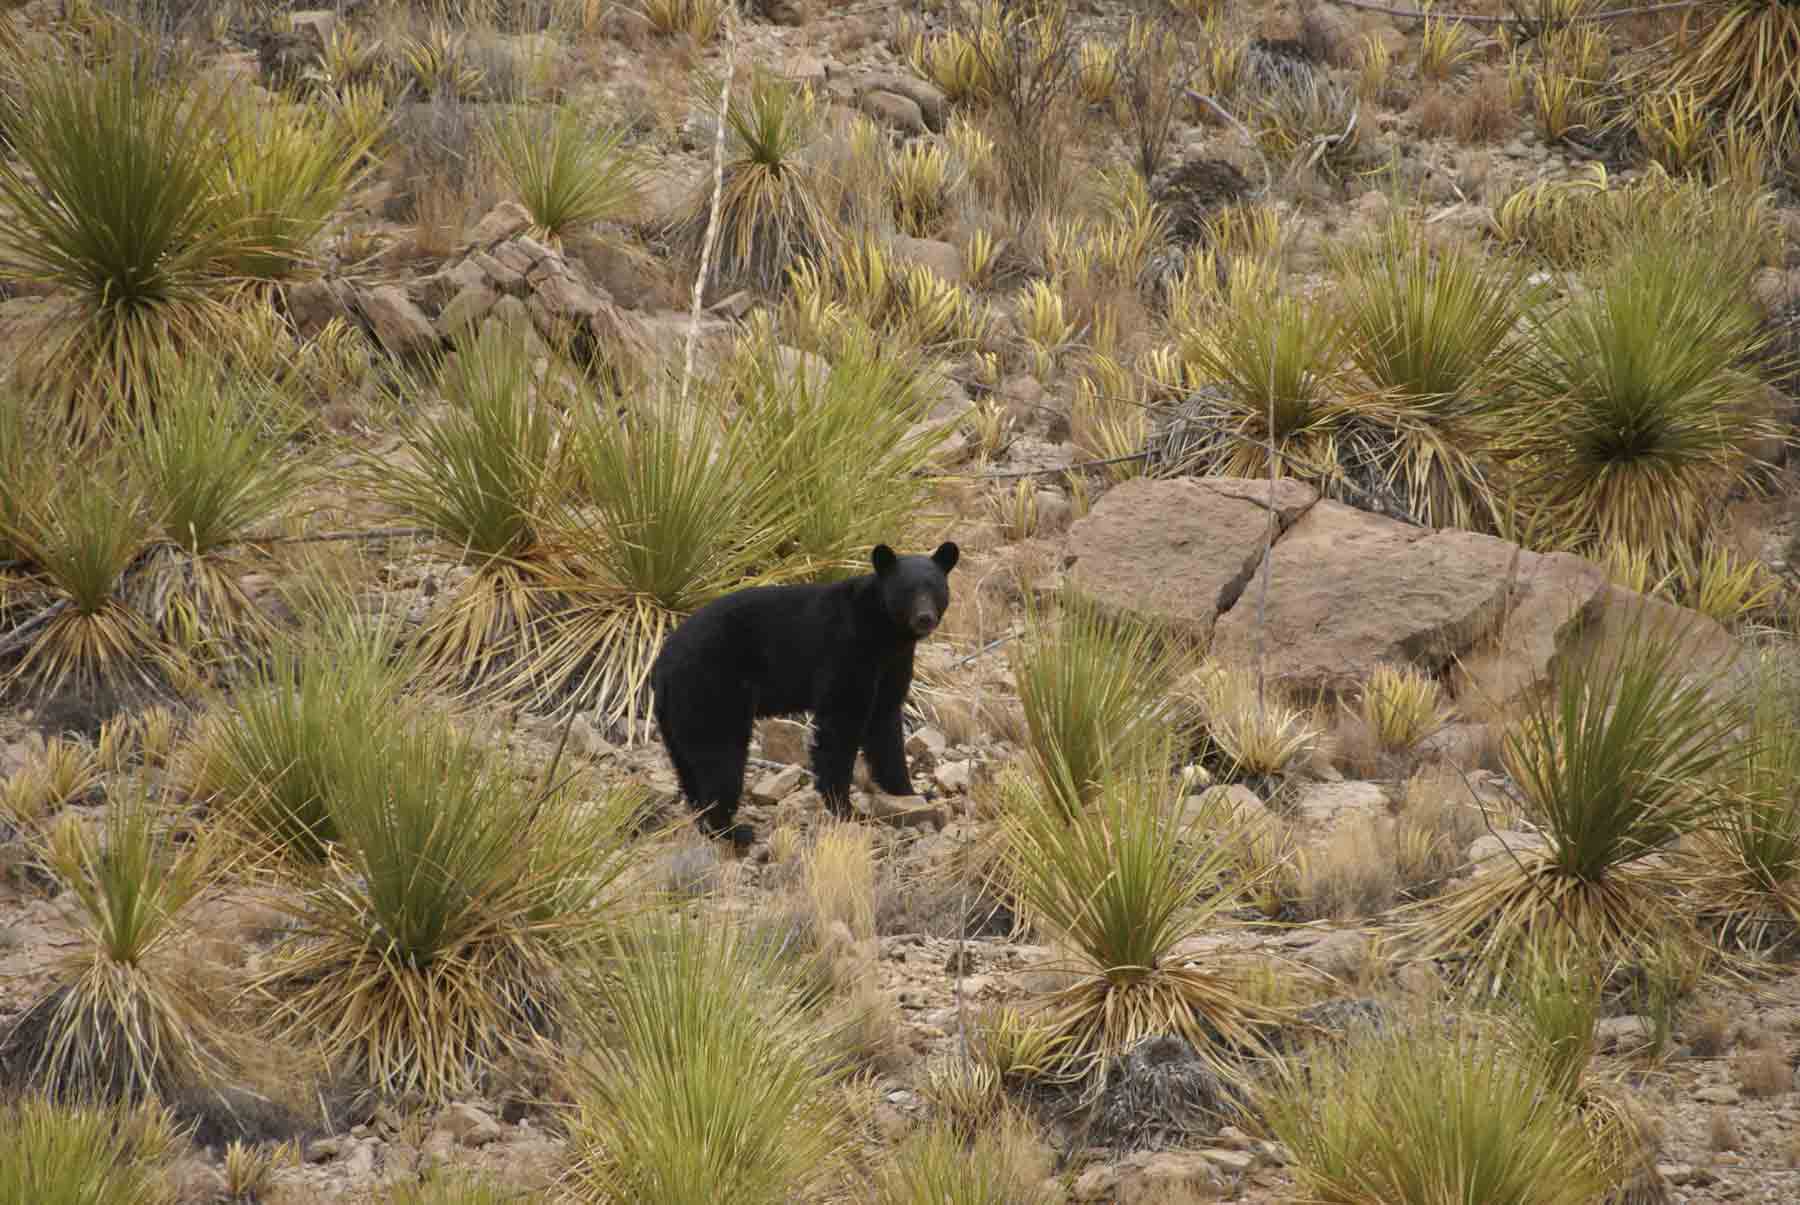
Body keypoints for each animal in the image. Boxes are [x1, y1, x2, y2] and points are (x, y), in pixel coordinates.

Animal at [650, 541, 960, 848]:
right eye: (906, 591)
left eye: (935, 588)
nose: (924, 618)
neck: (885, 633)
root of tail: (661, 667)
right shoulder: (847, 651)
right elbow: (840, 726)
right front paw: (846, 809)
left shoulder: (893, 666)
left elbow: (885, 727)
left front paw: (911, 794)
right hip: (712, 689)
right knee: (720, 757)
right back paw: (733, 830)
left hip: (678, 714)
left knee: (688, 764)